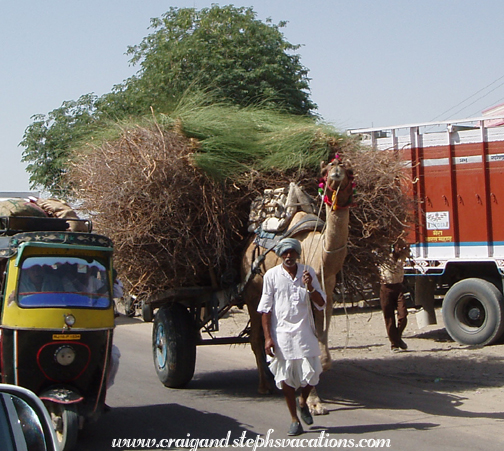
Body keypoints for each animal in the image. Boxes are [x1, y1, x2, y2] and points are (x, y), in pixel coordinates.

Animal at [241, 157, 354, 414]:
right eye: (326, 172)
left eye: (349, 171)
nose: (336, 175)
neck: (320, 255)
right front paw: (313, 401)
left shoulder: (326, 296)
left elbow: (322, 356)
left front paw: (311, 398)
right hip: (253, 292)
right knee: (256, 338)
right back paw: (264, 386)